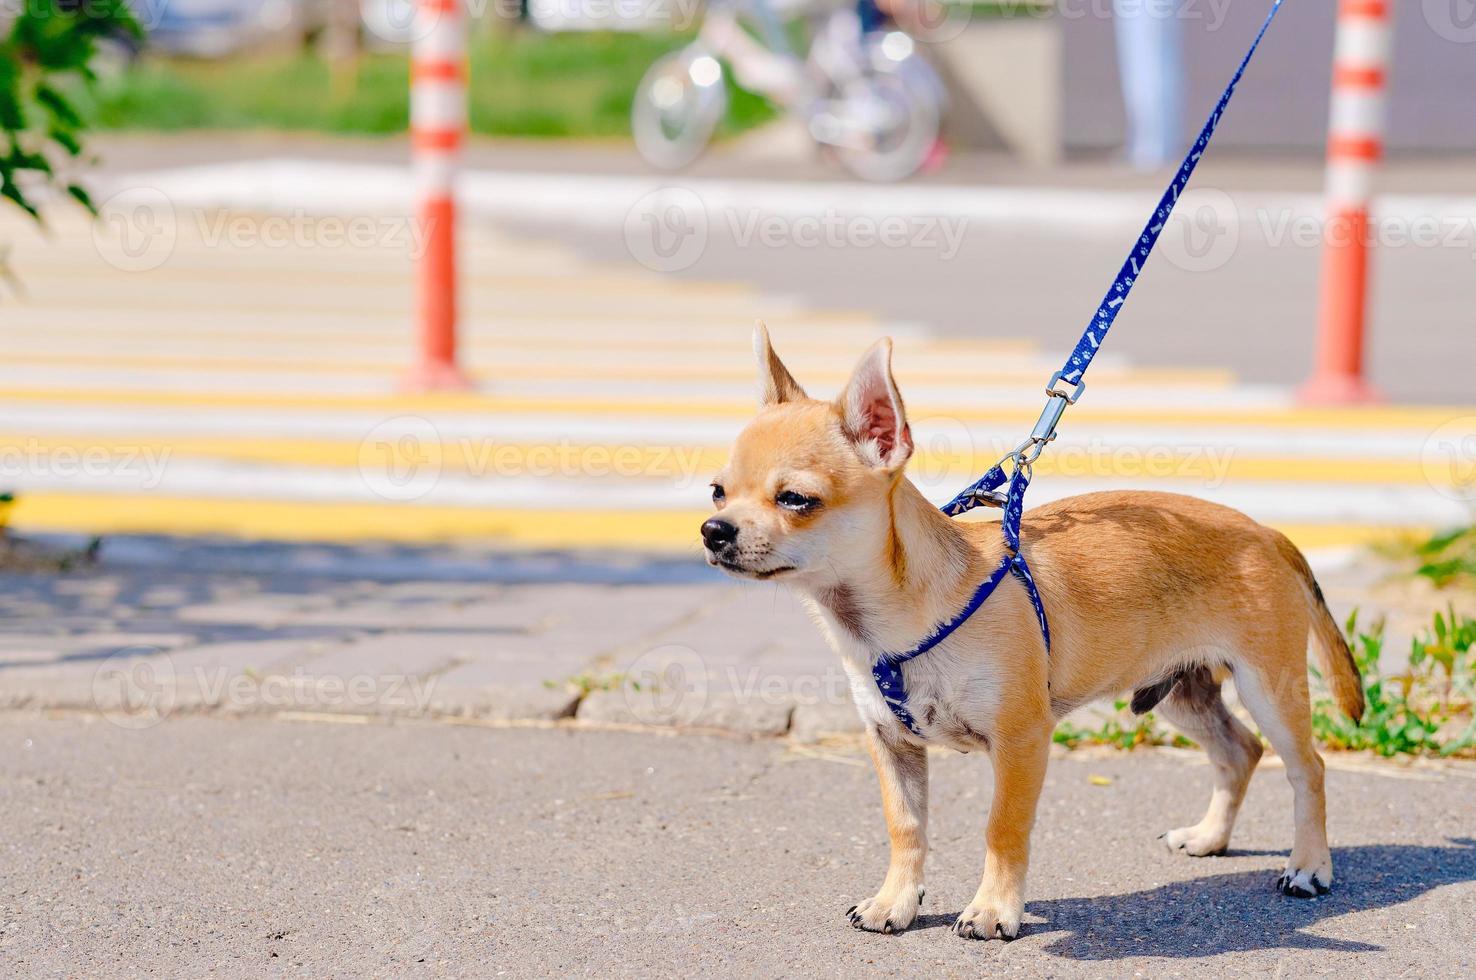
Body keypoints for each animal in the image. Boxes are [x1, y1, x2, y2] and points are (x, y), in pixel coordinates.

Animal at [696, 327, 1363, 944]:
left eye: (795, 498)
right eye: (717, 491)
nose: (712, 530)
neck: (885, 622)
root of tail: (1266, 531)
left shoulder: (1021, 742)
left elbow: (1002, 828)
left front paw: (994, 911)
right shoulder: (892, 744)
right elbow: (906, 828)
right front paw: (896, 902)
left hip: (1268, 689)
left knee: (1307, 767)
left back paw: (1309, 866)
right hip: (1180, 692)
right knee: (1238, 751)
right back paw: (1210, 837)